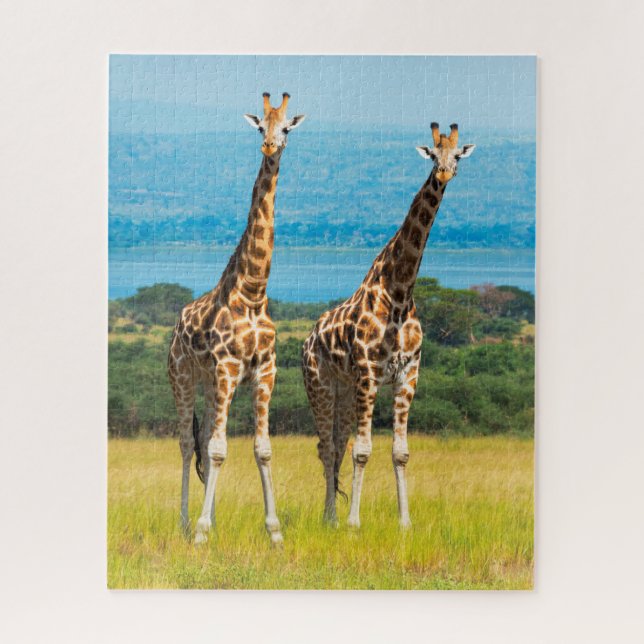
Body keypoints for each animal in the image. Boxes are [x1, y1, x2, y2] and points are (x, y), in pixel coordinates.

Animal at [168, 92, 305, 545]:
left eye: (286, 128)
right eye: (260, 126)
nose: (269, 147)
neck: (253, 292)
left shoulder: (265, 371)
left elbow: (260, 448)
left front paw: (275, 532)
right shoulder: (228, 368)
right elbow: (216, 449)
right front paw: (201, 532)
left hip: (213, 387)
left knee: (206, 439)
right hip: (184, 378)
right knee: (187, 444)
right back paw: (186, 523)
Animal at [302, 123, 475, 528]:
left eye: (458, 155)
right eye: (432, 154)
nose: (444, 173)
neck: (399, 291)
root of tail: (307, 339)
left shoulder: (408, 373)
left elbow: (400, 452)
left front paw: (405, 523)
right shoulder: (368, 371)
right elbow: (363, 450)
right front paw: (353, 523)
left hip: (346, 392)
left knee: (336, 445)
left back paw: (332, 516)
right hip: (321, 386)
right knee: (327, 447)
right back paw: (331, 518)